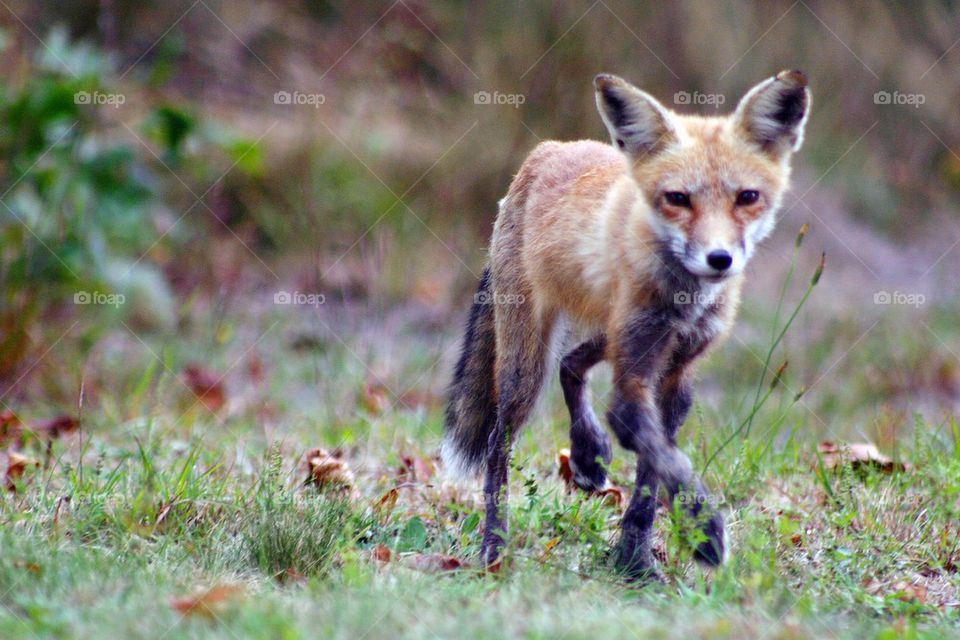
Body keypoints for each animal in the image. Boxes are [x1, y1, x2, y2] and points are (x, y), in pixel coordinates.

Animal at [444, 70, 808, 580]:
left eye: (747, 198)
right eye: (678, 199)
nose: (720, 259)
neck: (684, 299)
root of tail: (547, 150)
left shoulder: (676, 370)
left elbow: (656, 469)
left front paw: (635, 555)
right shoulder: (636, 368)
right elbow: (658, 451)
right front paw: (703, 530)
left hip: (606, 334)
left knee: (572, 365)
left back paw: (587, 452)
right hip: (526, 366)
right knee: (499, 444)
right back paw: (493, 547)